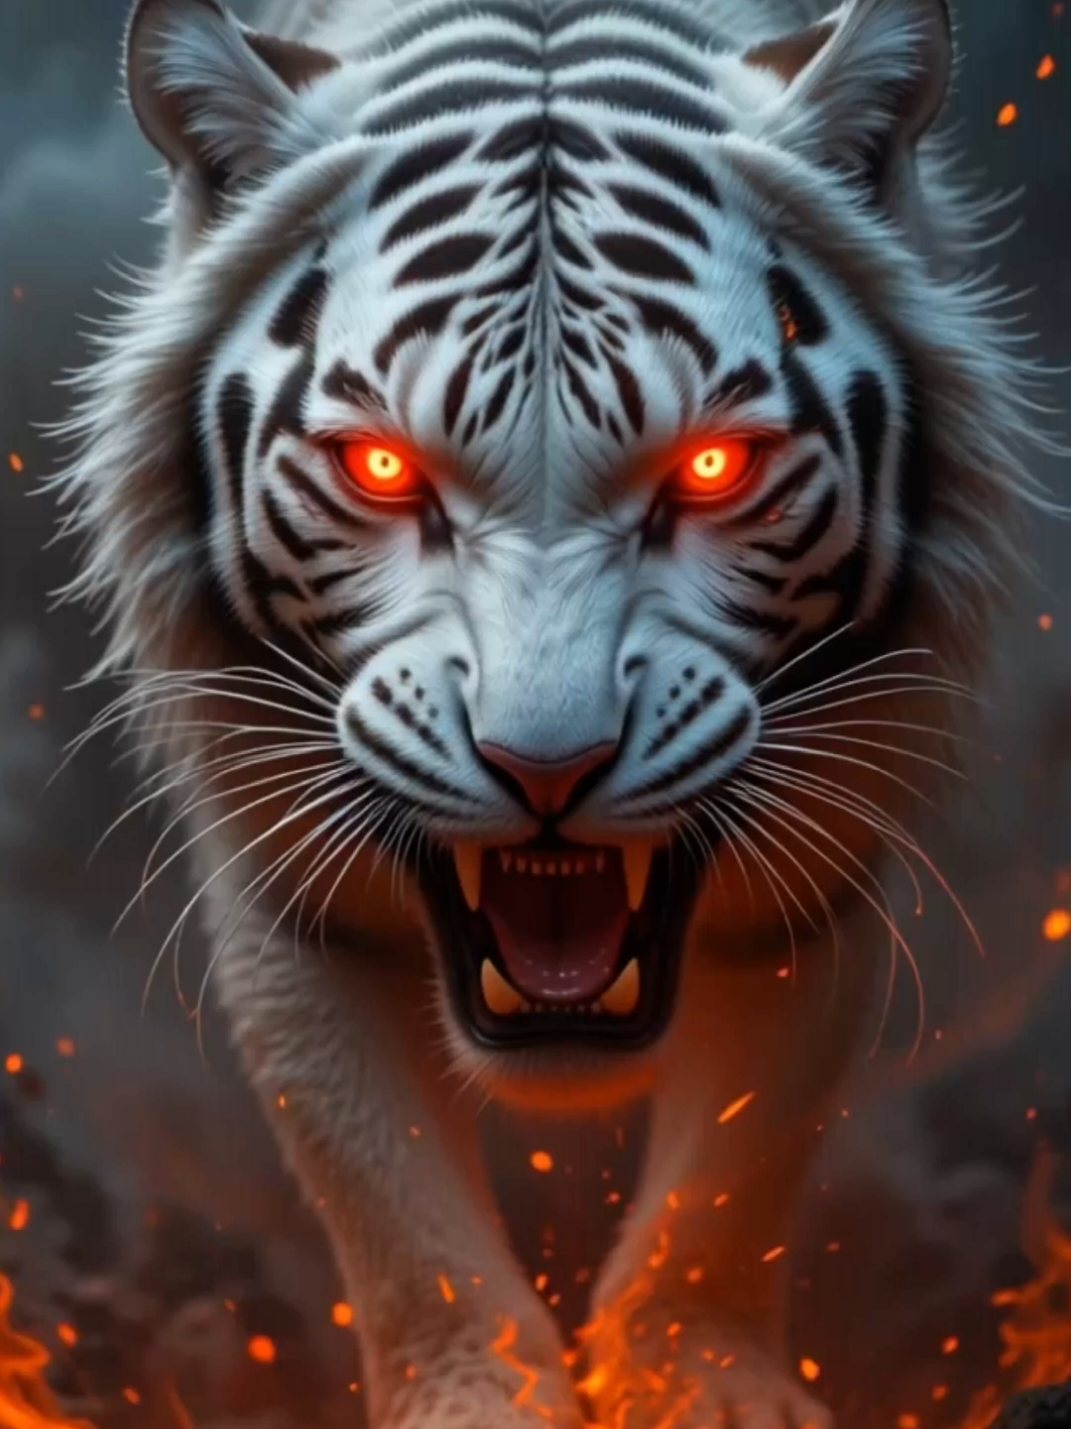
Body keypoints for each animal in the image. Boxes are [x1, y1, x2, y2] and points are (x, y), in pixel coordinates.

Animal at [53, 0, 1049, 1423]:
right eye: (380, 466)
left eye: (714, 466)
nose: (546, 767)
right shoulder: (283, 888)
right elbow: (395, 1208)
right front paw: (472, 1394)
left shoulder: (823, 873)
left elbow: (734, 1179)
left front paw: (709, 1379)